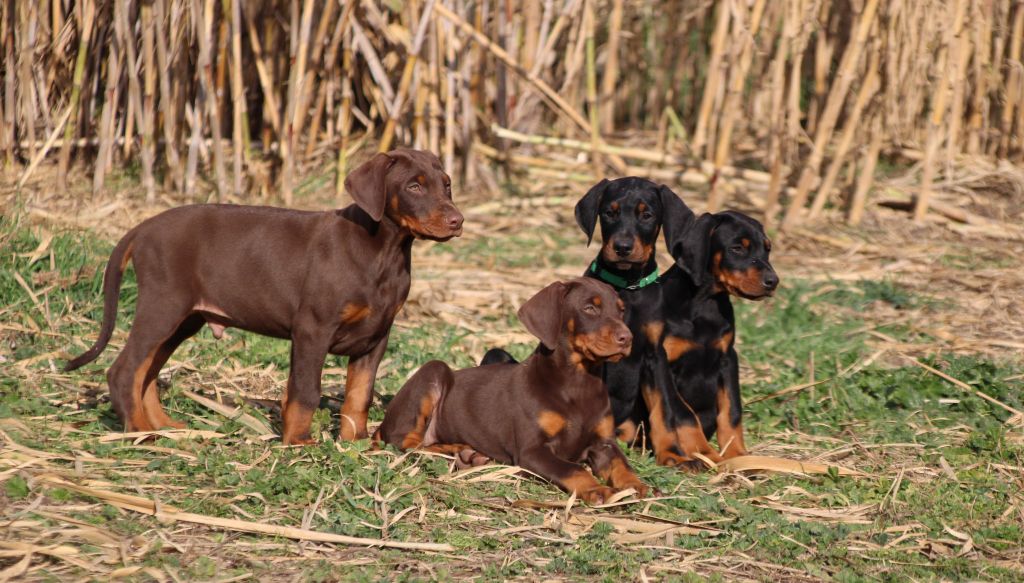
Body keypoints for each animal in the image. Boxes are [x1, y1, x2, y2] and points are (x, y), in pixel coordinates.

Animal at [64, 147, 464, 442]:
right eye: (414, 186)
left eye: (446, 185)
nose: (457, 220)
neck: (383, 251)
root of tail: (142, 228)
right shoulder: (313, 329)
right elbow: (305, 391)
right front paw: (298, 442)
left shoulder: (376, 336)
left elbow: (358, 395)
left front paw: (355, 442)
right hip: (163, 306)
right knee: (125, 370)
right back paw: (139, 432)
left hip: (183, 320)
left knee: (146, 372)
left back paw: (164, 427)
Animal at [378, 278, 655, 504]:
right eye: (590, 308)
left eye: (620, 310)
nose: (627, 338)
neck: (578, 382)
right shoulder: (532, 450)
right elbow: (572, 468)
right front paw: (596, 489)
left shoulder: (604, 443)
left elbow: (622, 465)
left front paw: (638, 485)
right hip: (433, 372)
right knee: (406, 441)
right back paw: (456, 451)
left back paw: (466, 453)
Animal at [643, 211, 778, 465]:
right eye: (737, 248)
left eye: (767, 249)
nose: (773, 281)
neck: (704, 303)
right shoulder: (661, 362)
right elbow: (682, 411)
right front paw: (703, 452)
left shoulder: (728, 358)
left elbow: (732, 411)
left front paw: (738, 455)